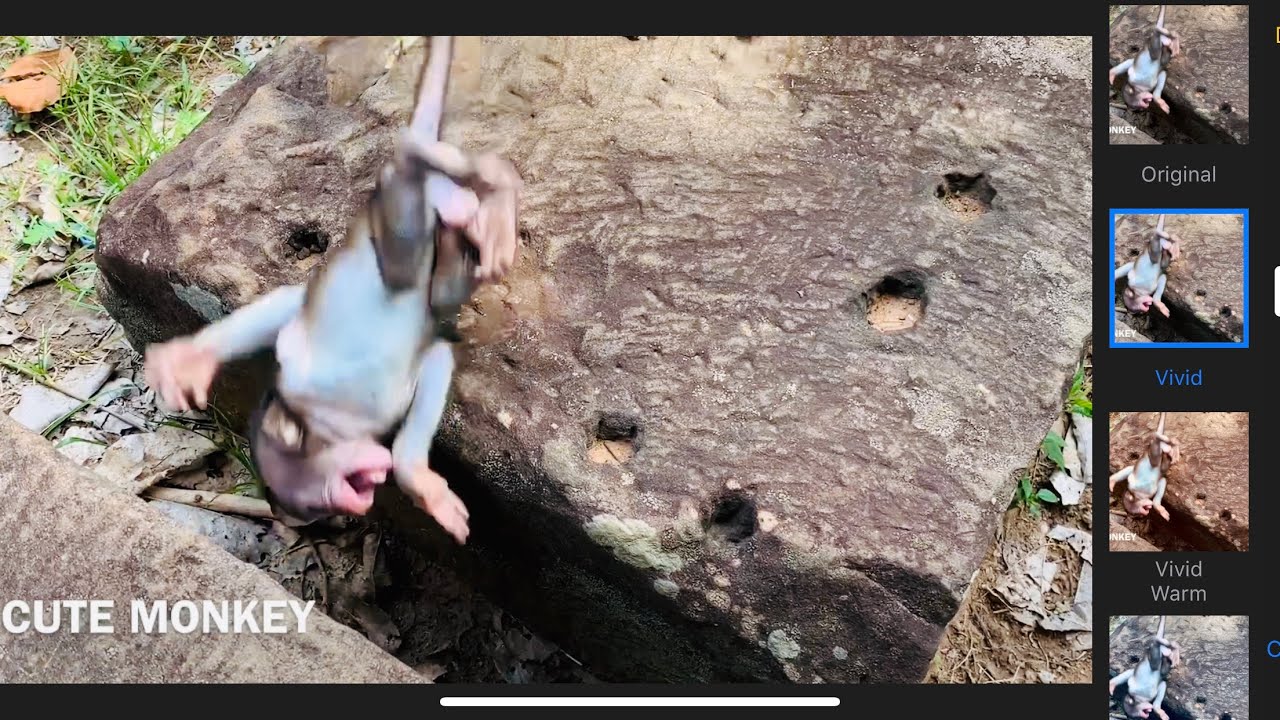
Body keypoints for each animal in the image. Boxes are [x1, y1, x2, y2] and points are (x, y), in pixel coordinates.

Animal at [143, 36, 523, 543]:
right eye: (331, 500)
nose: (366, 490)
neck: (333, 422)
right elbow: (437, 359)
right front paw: (416, 479)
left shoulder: (306, 378)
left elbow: (293, 308)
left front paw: (188, 359)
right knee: (436, 276)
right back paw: (476, 205)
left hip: (387, 215)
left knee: (406, 204)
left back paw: (472, 179)